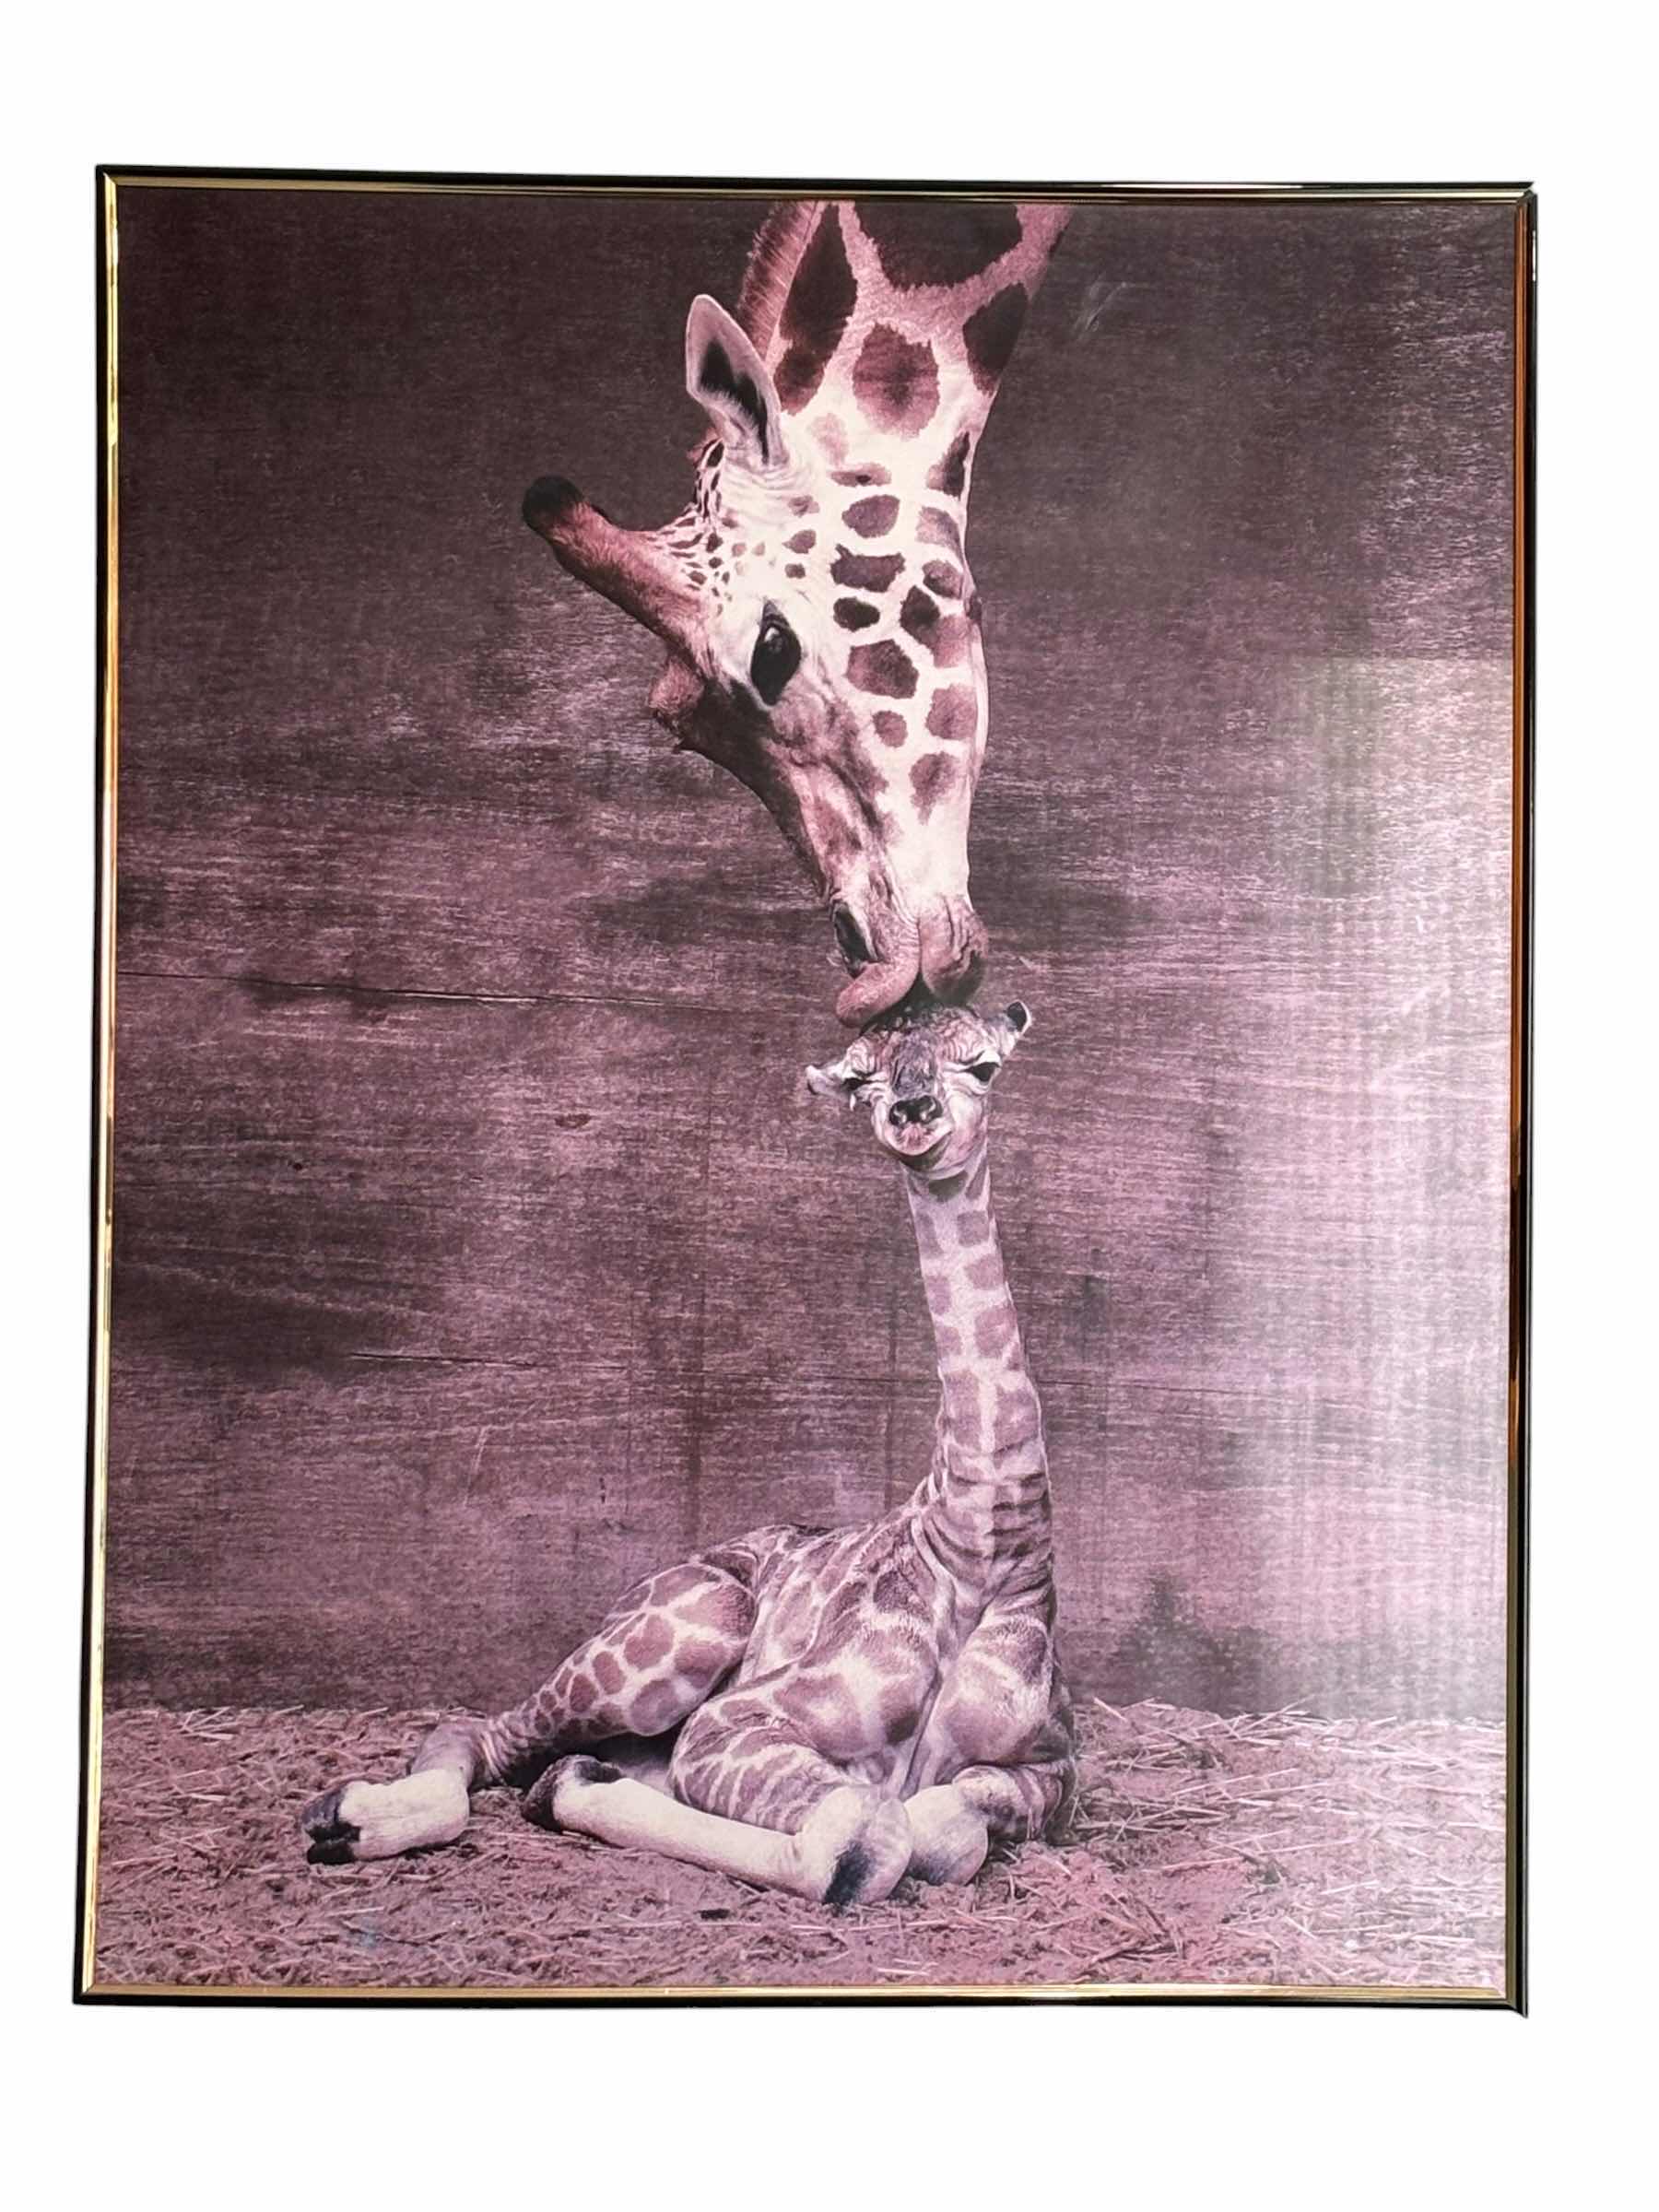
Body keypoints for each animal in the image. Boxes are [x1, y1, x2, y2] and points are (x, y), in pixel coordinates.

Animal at [300, 992, 1074, 1906]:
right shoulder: (731, 1722)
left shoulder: (1056, 1770)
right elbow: (870, 1837)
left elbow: (945, 1829)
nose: (912, 1115)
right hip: (689, 1629)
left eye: (981, 1065)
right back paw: (348, 1817)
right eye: (860, 1079)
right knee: (478, 1733)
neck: (983, 1542)